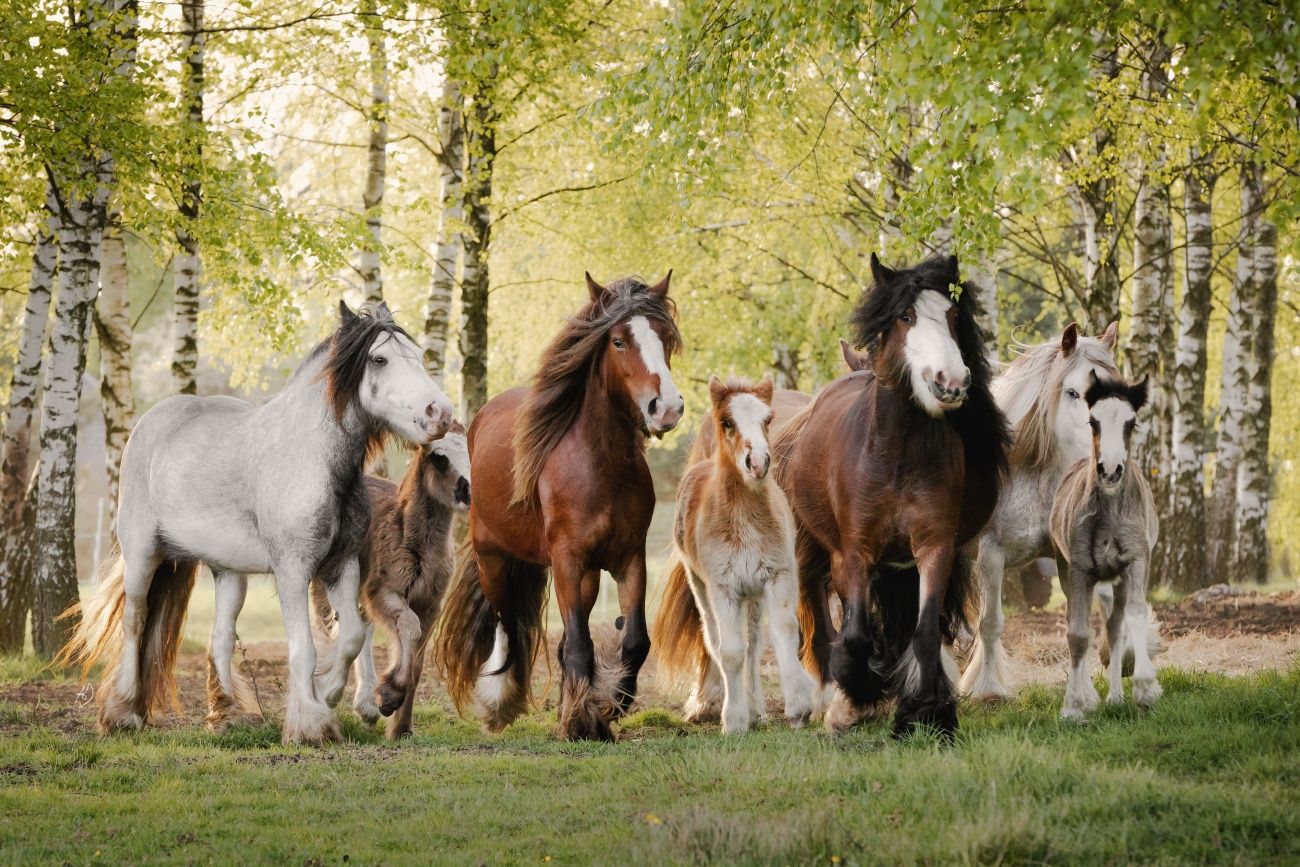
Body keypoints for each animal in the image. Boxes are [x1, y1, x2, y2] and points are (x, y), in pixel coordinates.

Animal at [436, 271, 686, 738]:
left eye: (665, 338)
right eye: (618, 341)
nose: (667, 408)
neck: (600, 467)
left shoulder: (629, 558)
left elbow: (633, 640)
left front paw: (608, 705)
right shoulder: (566, 558)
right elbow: (578, 644)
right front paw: (585, 721)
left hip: (585, 576)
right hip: (493, 559)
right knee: (507, 627)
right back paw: (500, 704)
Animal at [676, 376, 816, 733]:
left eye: (768, 419)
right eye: (727, 421)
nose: (758, 463)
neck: (745, 520)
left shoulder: (778, 576)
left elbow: (784, 634)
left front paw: (799, 708)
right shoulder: (724, 588)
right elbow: (730, 652)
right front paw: (734, 720)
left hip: (752, 594)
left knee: (753, 644)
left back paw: (756, 708)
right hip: (703, 588)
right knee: (716, 640)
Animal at [774, 256, 1008, 738]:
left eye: (953, 315)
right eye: (906, 316)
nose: (951, 382)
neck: (897, 454)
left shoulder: (933, 550)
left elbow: (924, 633)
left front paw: (926, 713)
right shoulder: (856, 553)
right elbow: (856, 634)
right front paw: (855, 701)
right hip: (816, 550)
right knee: (824, 616)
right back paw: (831, 697)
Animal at [1050, 376, 1164, 722]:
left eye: (1132, 423)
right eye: (1093, 422)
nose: (1110, 470)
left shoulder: (1136, 562)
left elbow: (1135, 617)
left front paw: (1145, 688)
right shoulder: (1079, 570)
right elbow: (1078, 634)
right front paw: (1074, 706)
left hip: (1119, 580)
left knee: (1115, 629)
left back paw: (1115, 697)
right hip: (1069, 572)